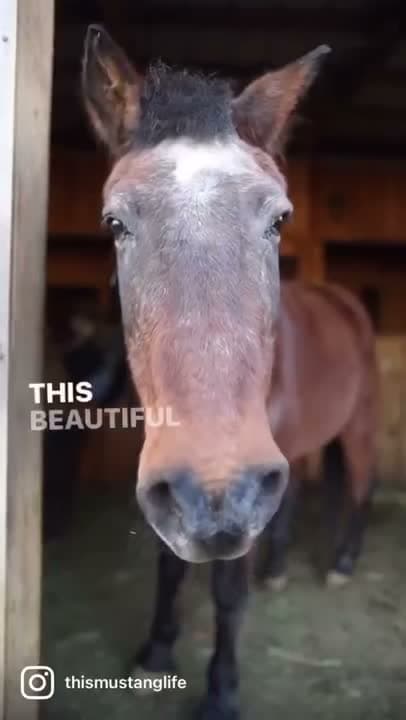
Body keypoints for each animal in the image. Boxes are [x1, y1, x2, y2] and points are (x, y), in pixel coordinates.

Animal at [82, 26, 377, 720]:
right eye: (115, 222)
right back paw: (279, 567)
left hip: (357, 426)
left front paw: (220, 692)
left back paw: (343, 561)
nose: (214, 491)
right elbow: (170, 568)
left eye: (279, 219)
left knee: (359, 481)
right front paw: (157, 650)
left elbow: (226, 593)